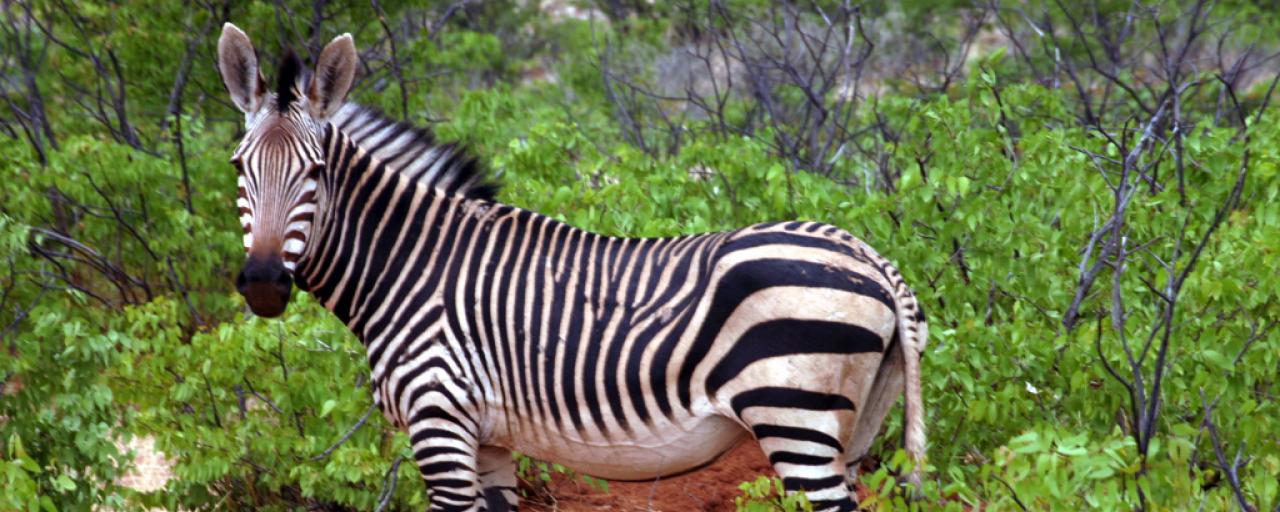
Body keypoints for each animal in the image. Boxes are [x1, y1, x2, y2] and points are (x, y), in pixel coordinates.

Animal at [215, 24, 926, 512]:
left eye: (315, 173)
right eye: (238, 167)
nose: (264, 284)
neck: (411, 266)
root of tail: (872, 257)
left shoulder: (439, 421)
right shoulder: (489, 440)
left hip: (795, 418)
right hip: (854, 428)